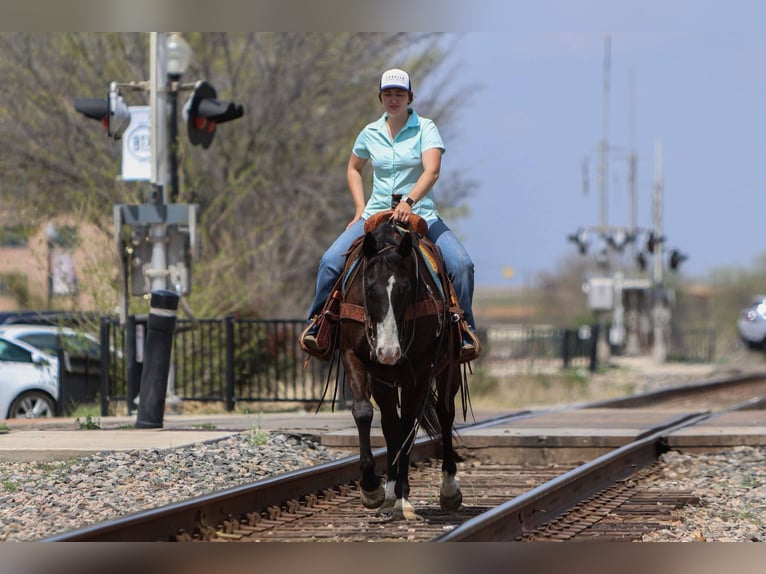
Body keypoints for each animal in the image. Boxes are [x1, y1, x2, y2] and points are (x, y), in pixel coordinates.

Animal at [337, 213, 466, 520]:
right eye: (369, 288)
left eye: (406, 289)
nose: (388, 351)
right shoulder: (353, 356)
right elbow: (365, 413)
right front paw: (372, 489)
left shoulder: (419, 369)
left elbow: (408, 425)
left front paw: (403, 498)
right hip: (382, 378)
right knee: (388, 422)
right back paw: (389, 489)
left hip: (448, 368)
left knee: (444, 414)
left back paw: (448, 489)